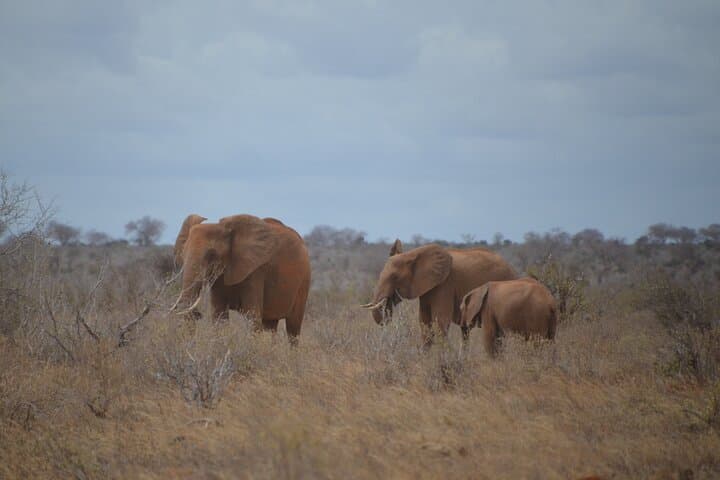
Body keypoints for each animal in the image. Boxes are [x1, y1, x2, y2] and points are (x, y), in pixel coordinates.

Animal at [171, 213, 311, 344]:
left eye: (211, 255)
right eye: (182, 254)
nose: (198, 314)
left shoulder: (255, 271)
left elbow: (253, 317)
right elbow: (219, 316)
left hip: (304, 280)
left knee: (293, 328)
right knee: (270, 325)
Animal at [361, 239, 517, 347]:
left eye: (394, 277)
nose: (386, 316)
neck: (413, 254)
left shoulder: (445, 284)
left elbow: (440, 322)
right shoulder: (427, 287)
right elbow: (424, 322)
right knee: (466, 331)